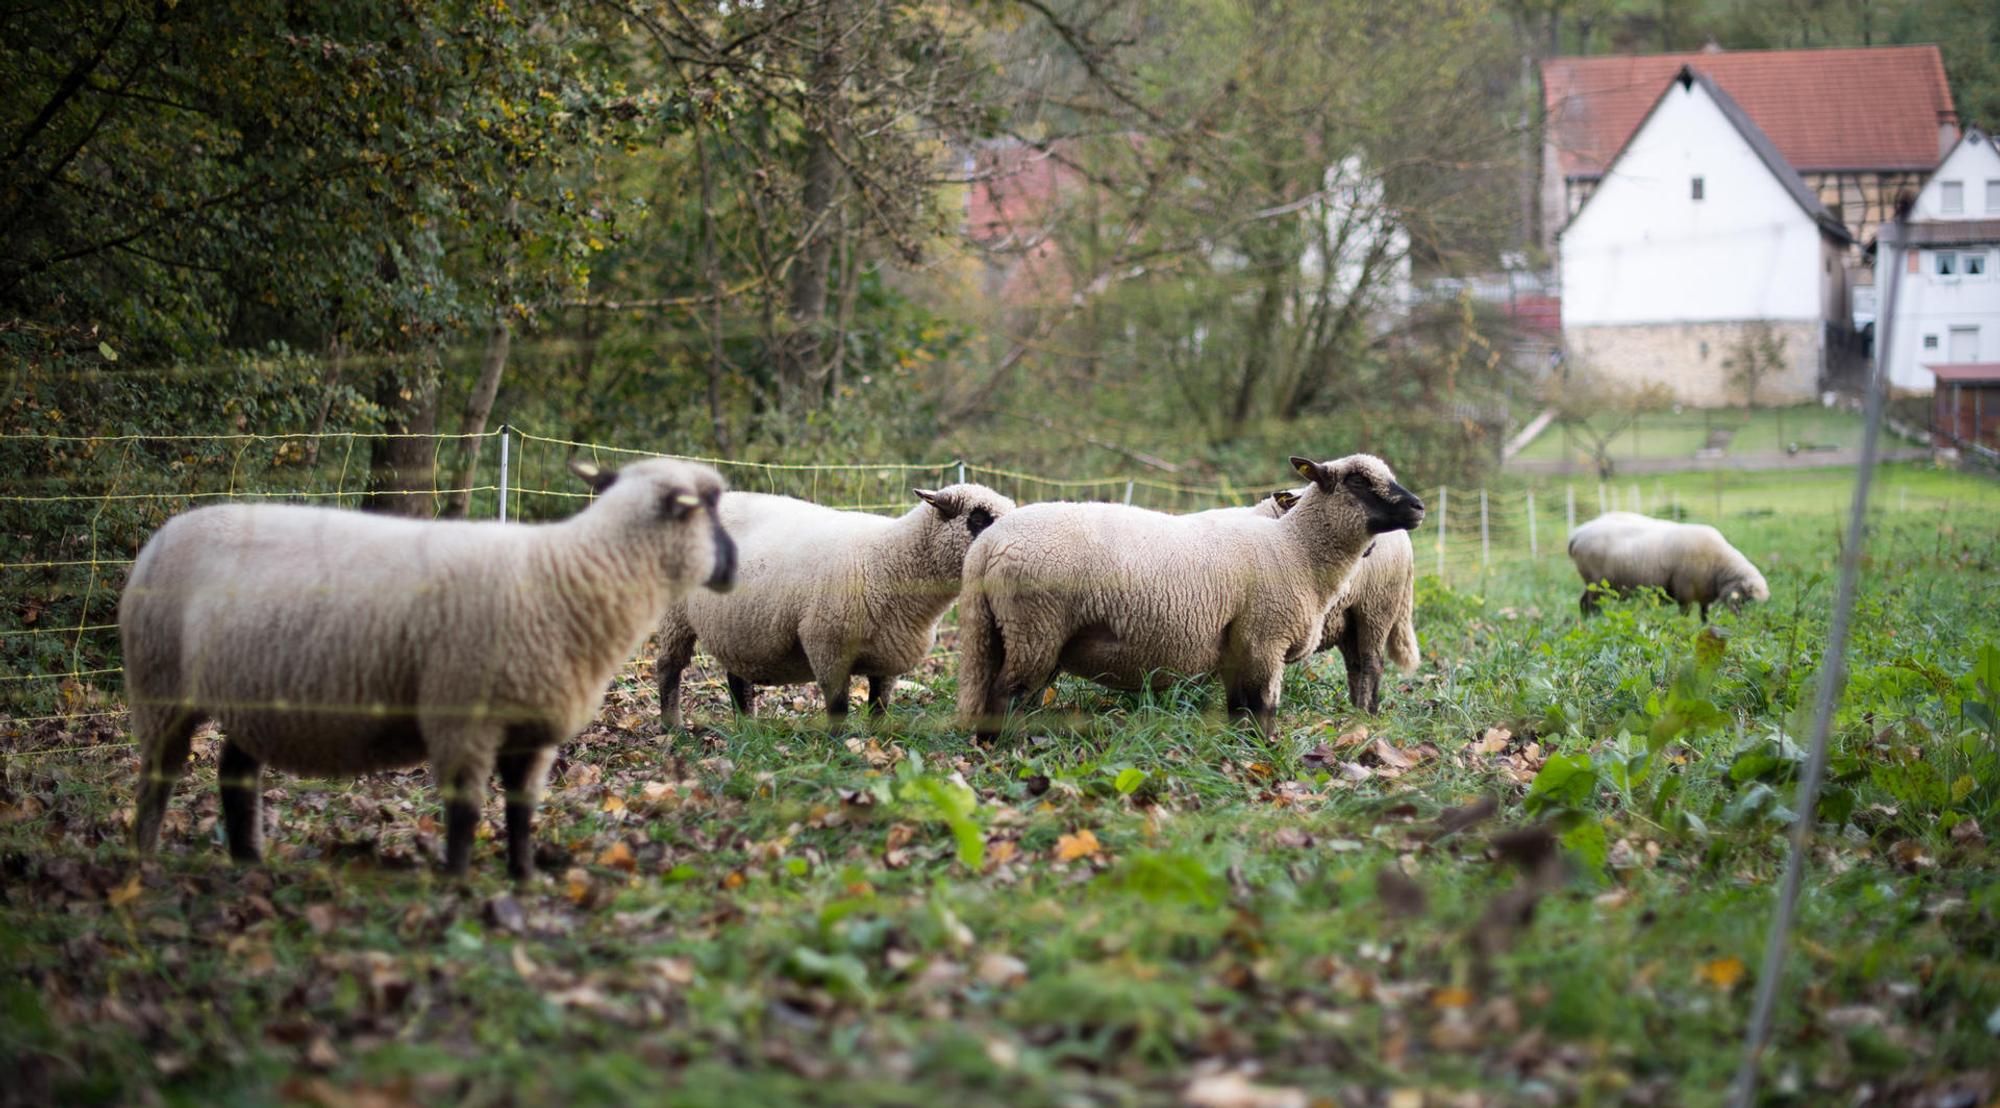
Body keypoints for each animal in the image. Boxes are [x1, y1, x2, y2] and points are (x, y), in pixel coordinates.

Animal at [122, 457, 736, 880]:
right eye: (709, 509)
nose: (733, 568)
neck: (568, 571)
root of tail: (162, 533)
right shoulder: (462, 715)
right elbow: (464, 809)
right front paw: (458, 881)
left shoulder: (533, 726)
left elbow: (521, 808)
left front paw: (523, 876)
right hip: (159, 687)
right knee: (158, 776)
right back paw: (144, 858)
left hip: (251, 693)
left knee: (235, 773)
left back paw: (249, 860)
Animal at [657, 483, 1017, 728]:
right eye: (979, 518)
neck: (890, 560)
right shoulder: (827, 644)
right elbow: (838, 705)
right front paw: (840, 744)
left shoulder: (888, 655)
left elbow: (879, 704)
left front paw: (876, 738)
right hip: (676, 614)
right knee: (669, 669)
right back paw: (673, 726)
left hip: (738, 624)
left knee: (737, 678)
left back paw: (748, 726)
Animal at [956, 454, 1424, 740]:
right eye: (1357, 480)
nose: (1418, 507)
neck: (1296, 549)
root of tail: (986, 545)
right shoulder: (1264, 639)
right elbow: (1265, 709)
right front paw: (1265, 754)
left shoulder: (1241, 647)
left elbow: (1241, 708)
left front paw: (1242, 752)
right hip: (1034, 626)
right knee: (1005, 693)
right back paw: (1005, 749)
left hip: (1013, 631)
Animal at [1567, 510, 1769, 619]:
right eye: (1745, 600)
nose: (1747, 624)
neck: (1720, 567)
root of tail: (1578, 533)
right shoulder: (1685, 591)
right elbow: (1685, 614)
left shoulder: (1705, 594)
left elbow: (1704, 615)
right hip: (1597, 583)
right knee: (1591, 604)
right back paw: (1593, 620)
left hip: (1592, 583)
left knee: (1583, 601)